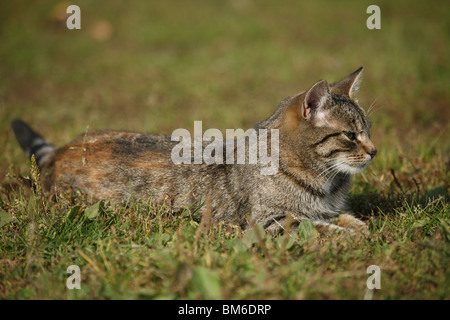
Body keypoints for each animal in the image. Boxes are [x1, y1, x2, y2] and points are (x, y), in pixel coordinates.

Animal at [11, 67, 376, 236]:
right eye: (350, 135)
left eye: (368, 129)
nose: (374, 151)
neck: (328, 183)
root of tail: (60, 150)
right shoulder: (269, 221)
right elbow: (317, 227)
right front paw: (352, 237)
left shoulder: (321, 209)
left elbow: (338, 218)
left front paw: (357, 226)